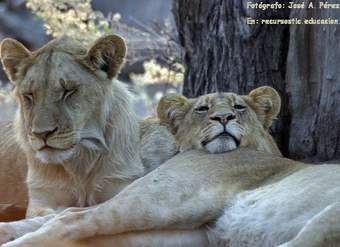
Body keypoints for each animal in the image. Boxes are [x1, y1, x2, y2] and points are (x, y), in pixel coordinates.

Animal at [0, 34, 175, 245]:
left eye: (68, 91)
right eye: (29, 95)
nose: (42, 134)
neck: (80, 162)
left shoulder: (120, 186)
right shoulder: (42, 197)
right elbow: (43, 214)